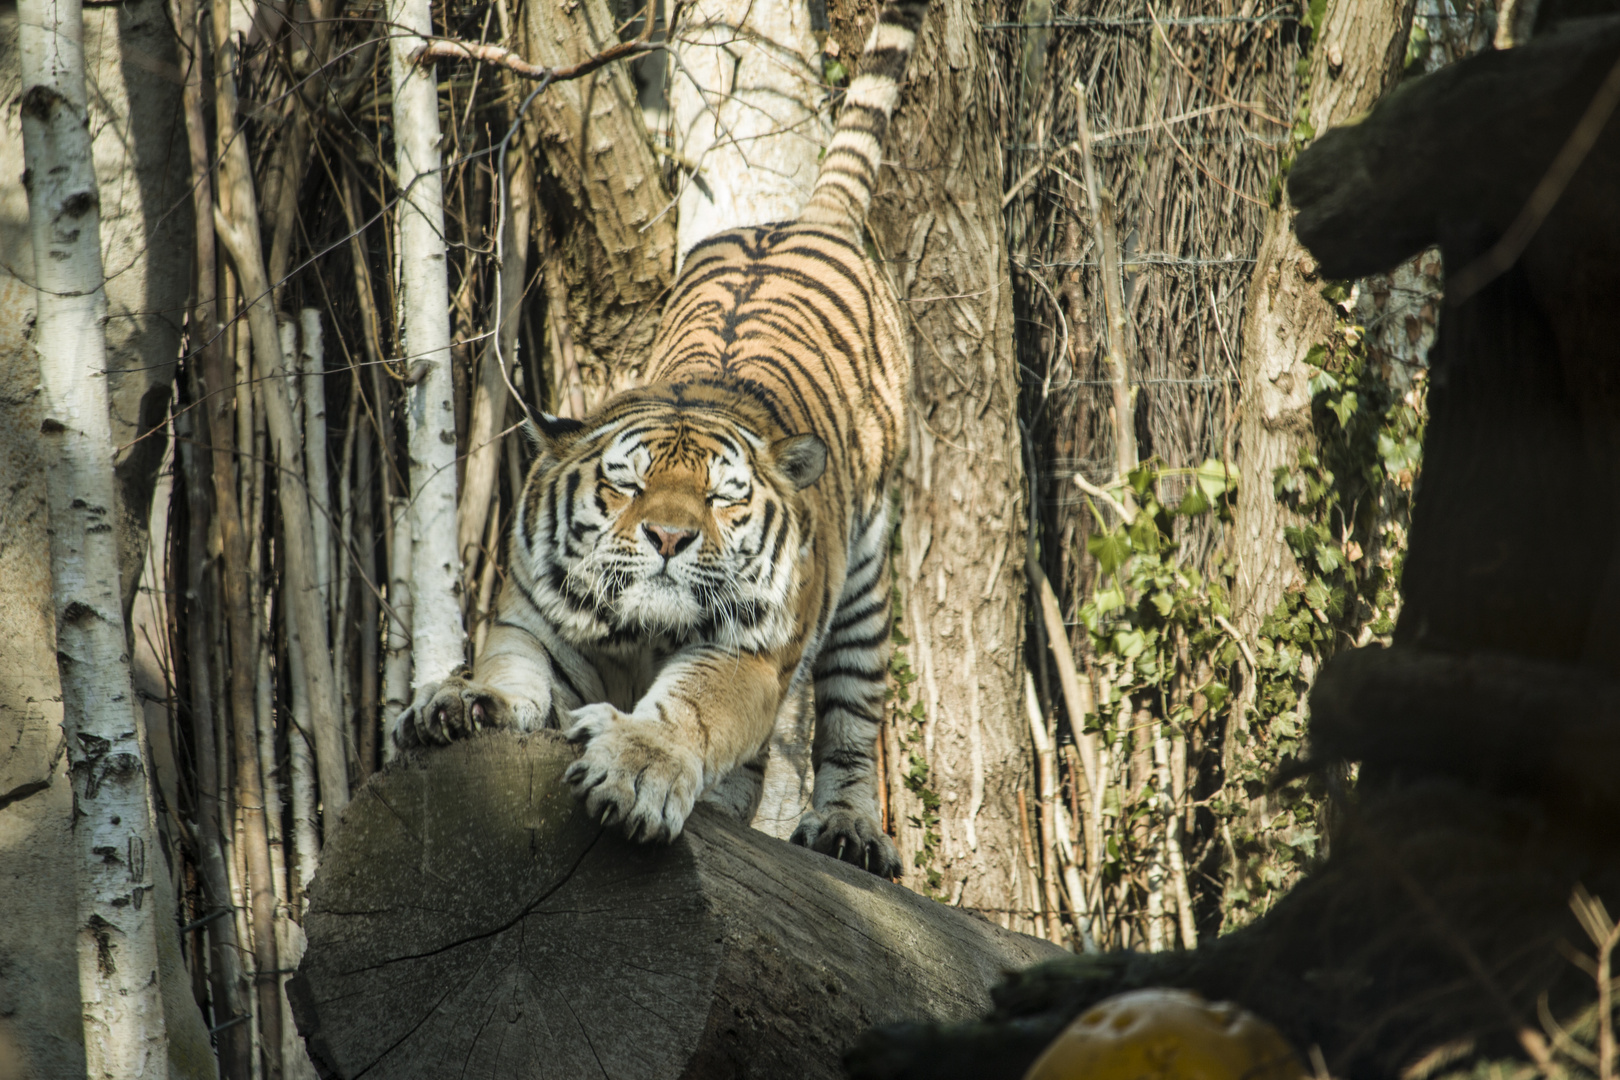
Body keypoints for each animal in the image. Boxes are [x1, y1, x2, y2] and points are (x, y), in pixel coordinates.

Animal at [387, 0, 939, 880]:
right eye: (628, 483)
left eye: (721, 498)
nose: (670, 538)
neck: (639, 632)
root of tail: (808, 218)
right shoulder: (533, 620)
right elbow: (512, 672)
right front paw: (462, 701)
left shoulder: (746, 654)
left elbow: (692, 711)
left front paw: (639, 767)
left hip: (863, 584)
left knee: (851, 715)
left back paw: (848, 828)